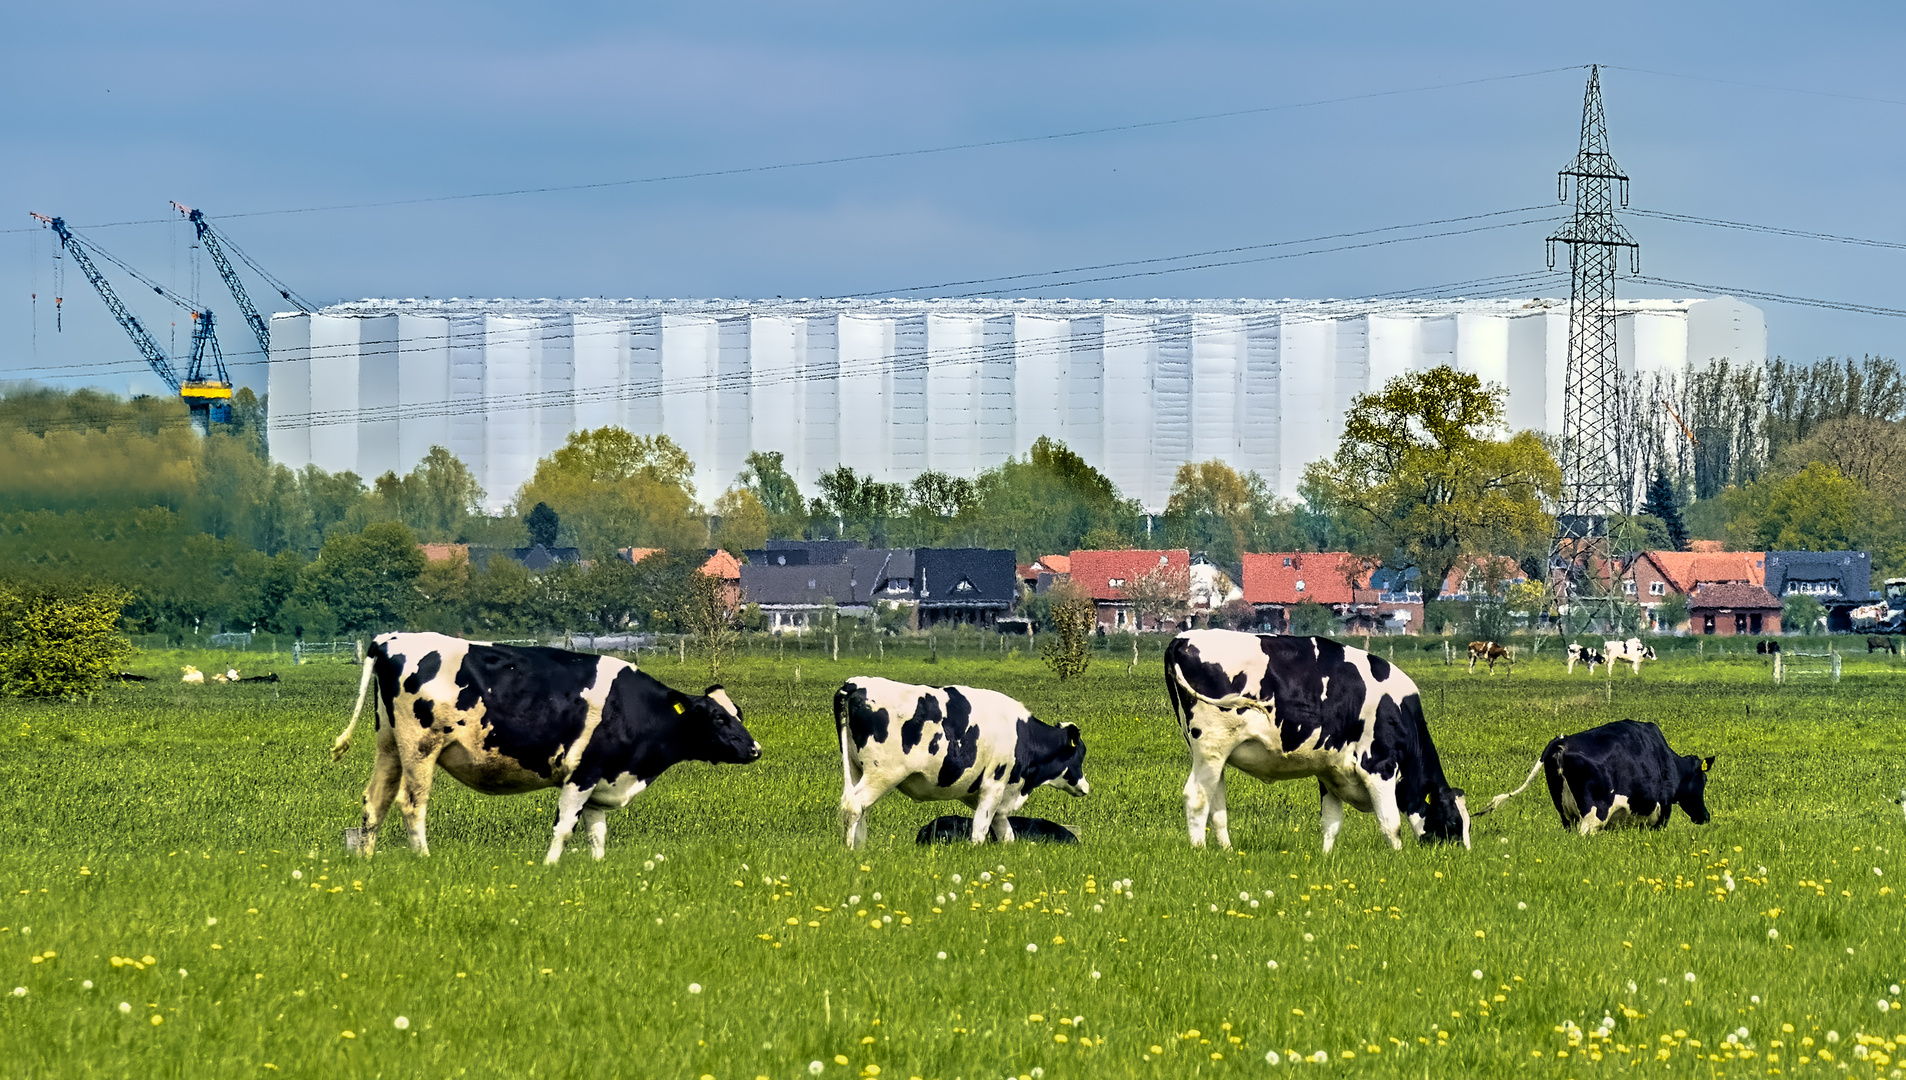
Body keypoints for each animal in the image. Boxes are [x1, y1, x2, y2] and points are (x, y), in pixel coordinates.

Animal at [335, 632, 758, 860]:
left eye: (736, 711)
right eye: (718, 718)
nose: (755, 749)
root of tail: (390, 639)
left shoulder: (601, 779)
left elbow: (596, 832)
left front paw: (597, 867)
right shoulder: (582, 773)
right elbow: (564, 827)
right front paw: (550, 866)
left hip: (389, 746)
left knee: (375, 801)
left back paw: (367, 859)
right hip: (421, 746)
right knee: (411, 803)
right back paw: (423, 858)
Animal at [834, 678, 1090, 853]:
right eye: (1081, 754)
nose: (1086, 787)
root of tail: (855, 685)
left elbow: (1005, 833)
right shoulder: (993, 785)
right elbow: (980, 829)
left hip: (856, 768)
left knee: (860, 808)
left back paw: (860, 848)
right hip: (883, 773)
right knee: (855, 805)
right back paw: (850, 850)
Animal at [1158, 632, 1471, 853]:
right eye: (1454, 822)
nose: (1461, 856)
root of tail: (1182, 639)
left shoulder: (1330, 771)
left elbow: (1331, 823)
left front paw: (1326, 857)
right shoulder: (1378, 765)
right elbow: (1390, 824)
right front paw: (1397, 858)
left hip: (1214, 753)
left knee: (1216, 804)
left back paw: (1227, 851)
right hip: (1211, 745)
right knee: (1196, 797)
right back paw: (1199, 851)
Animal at [1471, 720, 1715, 838]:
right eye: (1703, 781)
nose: (1705, 816)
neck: (1667, 759)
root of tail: (1562, 741)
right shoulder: (1662, 811)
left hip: (1565, 814)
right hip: (1593, 816)